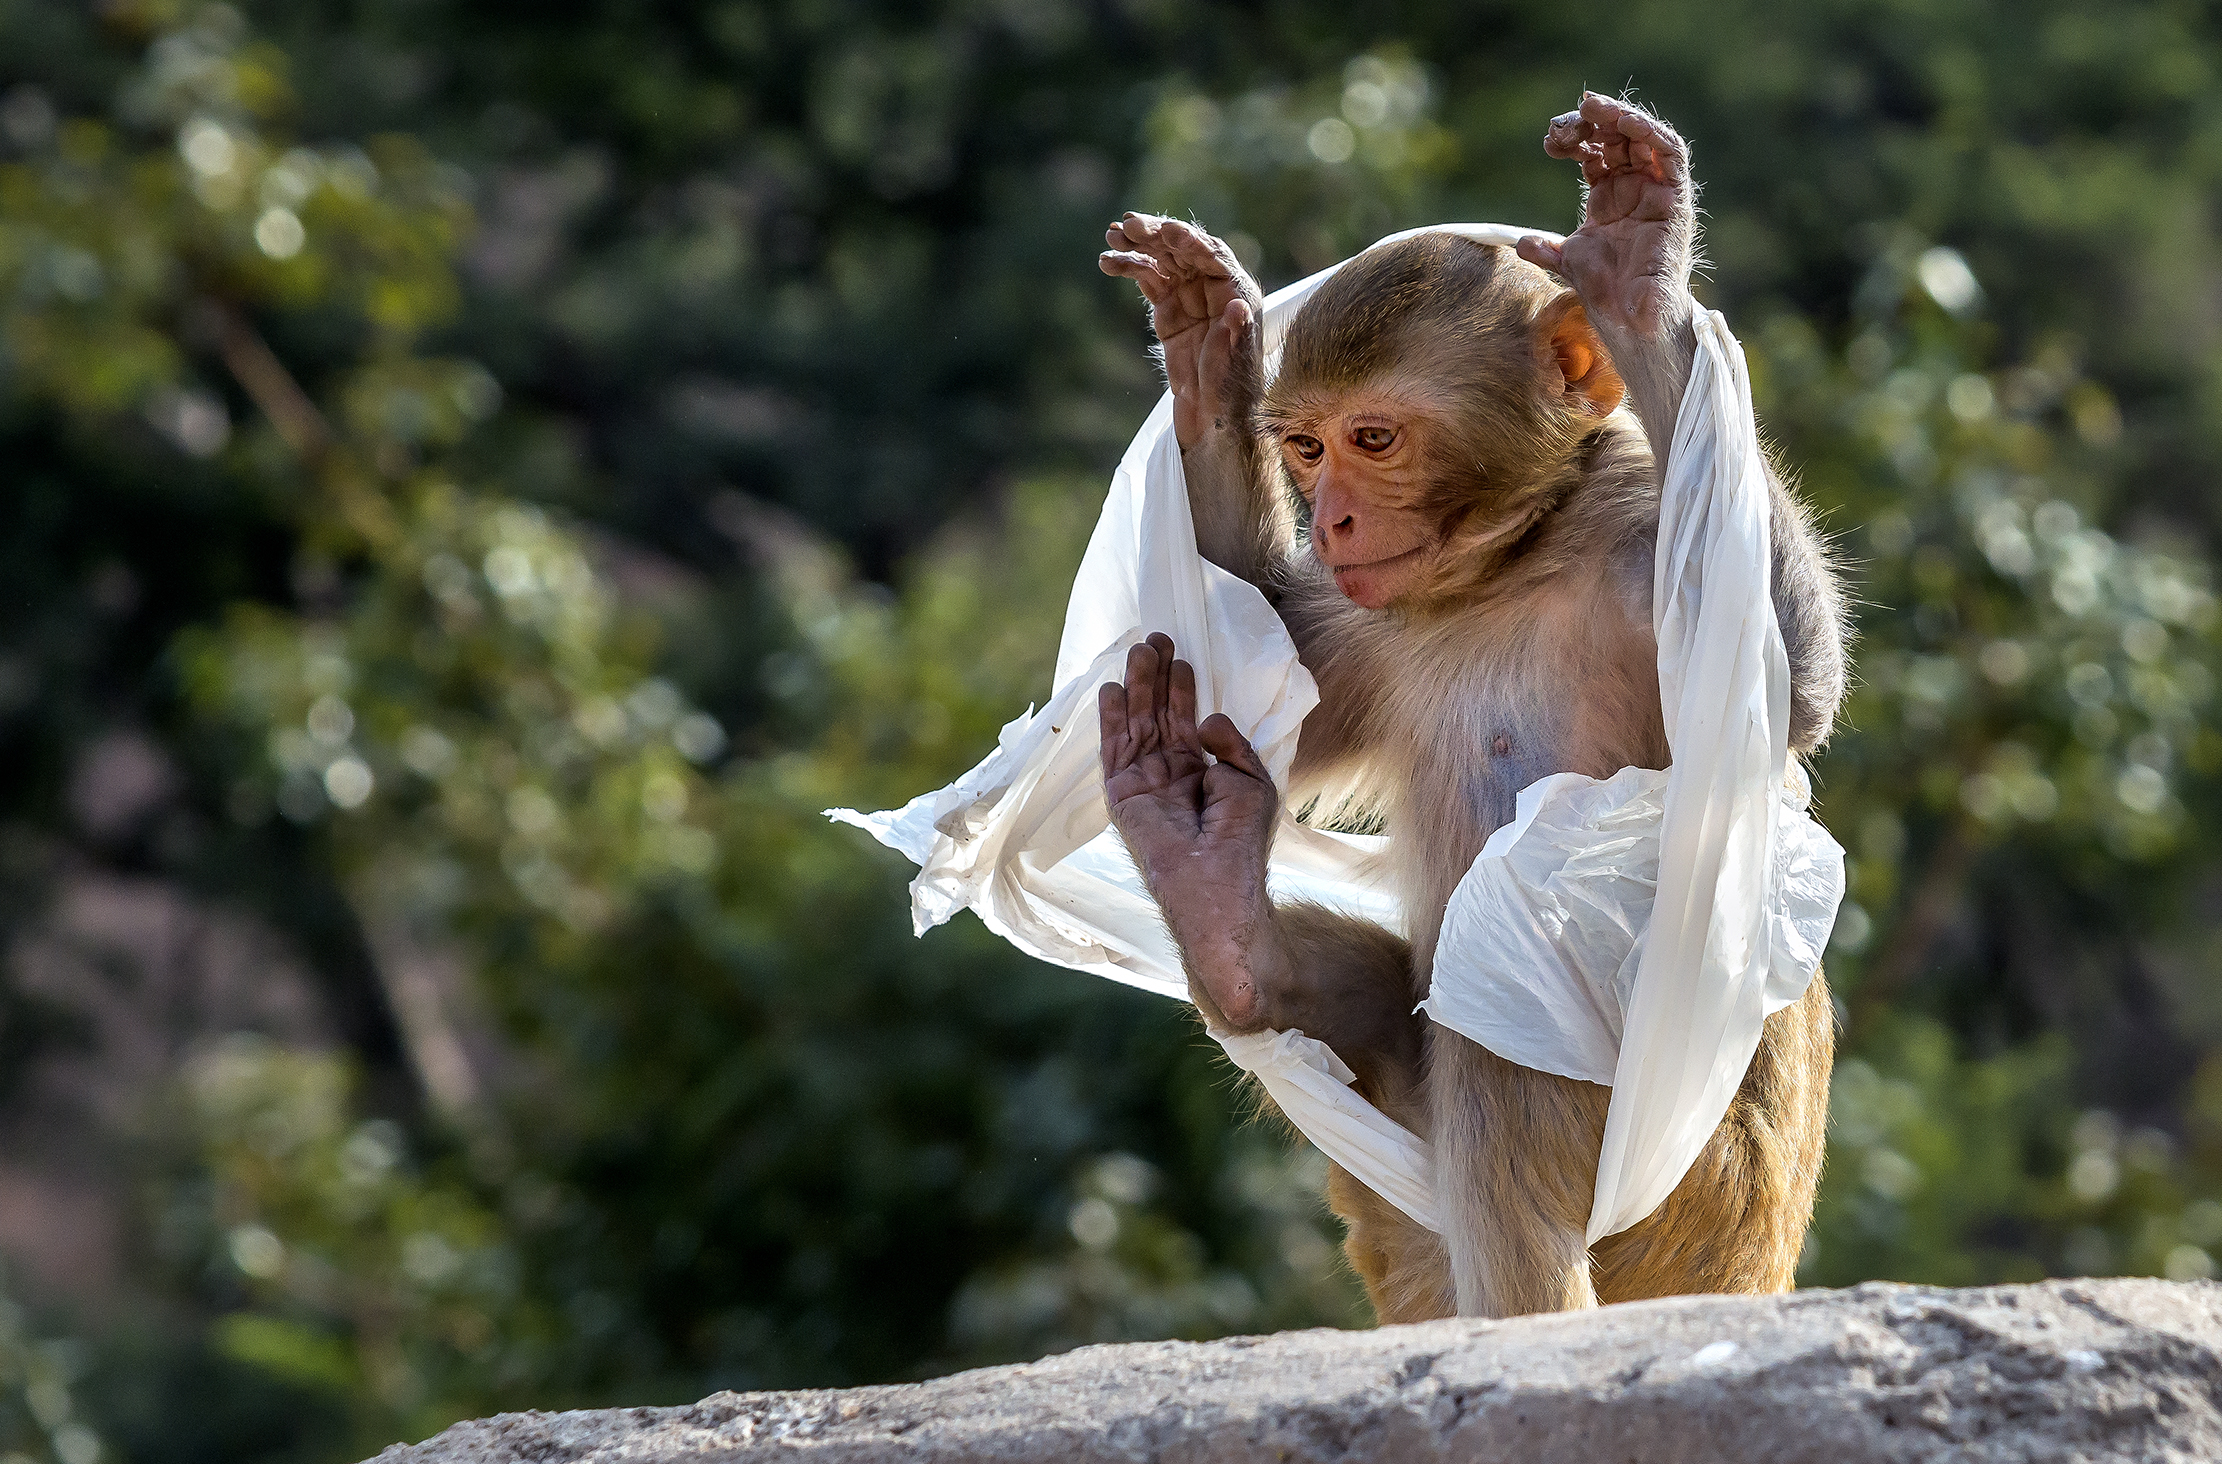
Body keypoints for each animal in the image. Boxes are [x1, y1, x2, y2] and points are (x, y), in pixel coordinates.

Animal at [1095, 92, 1846, 1322]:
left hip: (1703, 1202)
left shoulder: (1639, 537)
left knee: (1516, 989)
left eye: (1375, 439)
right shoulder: (1372, 620)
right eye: (1305, 446)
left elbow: (1780, 689)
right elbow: (1253, 660)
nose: (1335, 519)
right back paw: (1219, 922)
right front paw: (1209, 355)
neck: (1516, 559)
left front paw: (1641, 283)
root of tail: (1762, 1276)